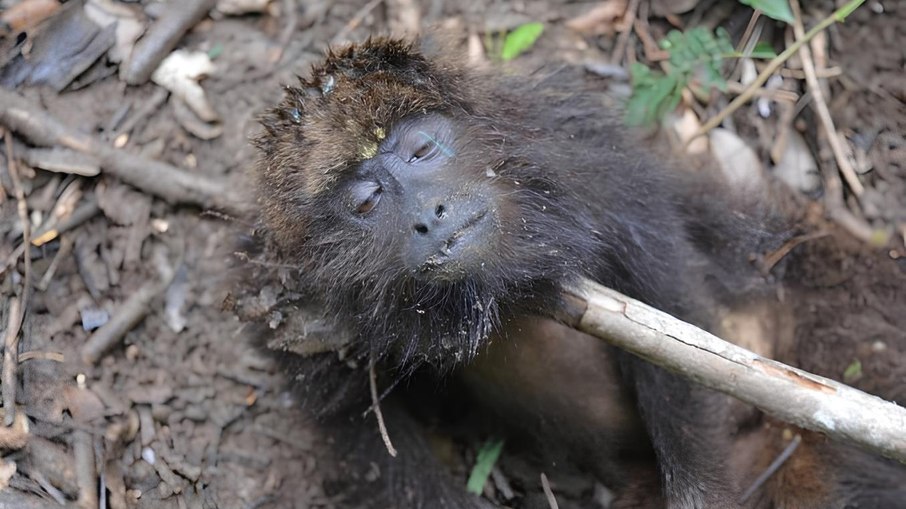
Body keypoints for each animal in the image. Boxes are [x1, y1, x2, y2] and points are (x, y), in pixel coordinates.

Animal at [235, 37, 906, 506]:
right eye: (367, 201)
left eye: (422, 150)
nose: (430, 214)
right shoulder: (286, 297)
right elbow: (362, 434)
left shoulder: (579, 150)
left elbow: (666, 300)